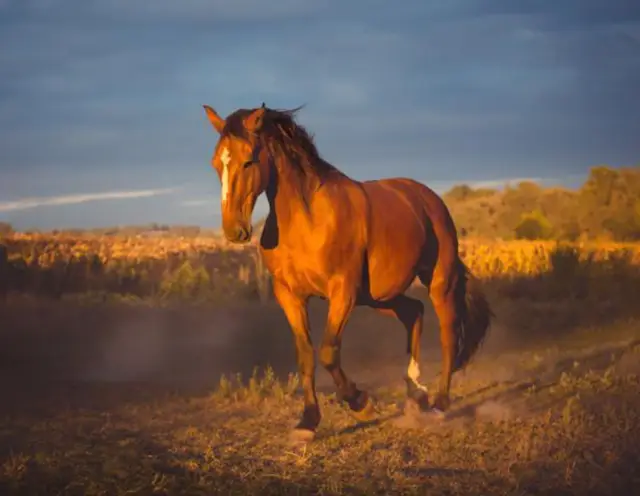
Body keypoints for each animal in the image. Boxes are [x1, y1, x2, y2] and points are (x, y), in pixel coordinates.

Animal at [202, 101, 492, 442]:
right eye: (215, 163)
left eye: (248, 161)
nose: (234, 231)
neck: (307, 220)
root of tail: (429, 199)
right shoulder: (290, 295)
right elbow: (305, 355)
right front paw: (307, 422)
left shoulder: (342, 291)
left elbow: (328, 352)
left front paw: (361, 403)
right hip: (379, 297)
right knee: (414, 312)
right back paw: (415, 391)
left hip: (437, 282)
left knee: (449, 333)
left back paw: (438, 404)